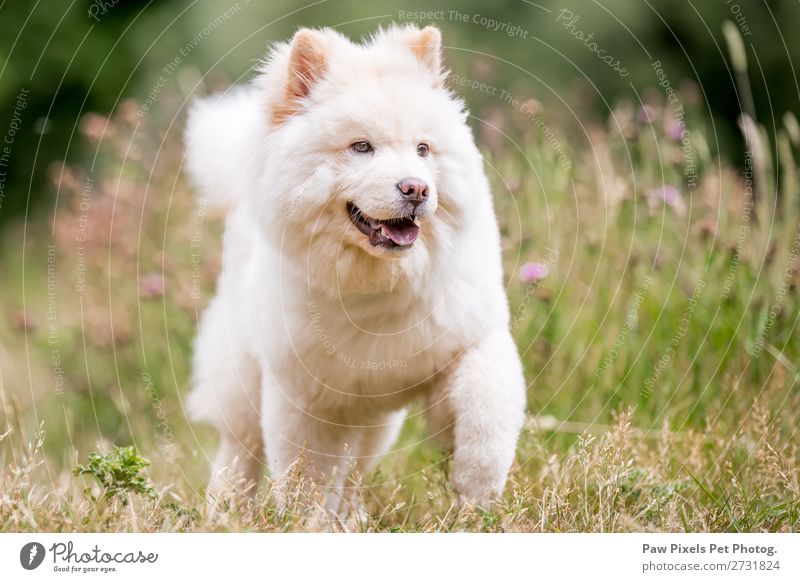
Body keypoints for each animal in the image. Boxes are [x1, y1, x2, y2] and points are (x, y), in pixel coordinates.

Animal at [185, 25, 528, 512]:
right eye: (361, 147)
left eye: (422, 149)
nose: (416, 188)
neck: (376, 286)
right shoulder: (301, 399)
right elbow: (304, 474)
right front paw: (304, 519)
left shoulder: (469, 343)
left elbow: (486, 414)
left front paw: (476, 494)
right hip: (244, 378)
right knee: (240, 452)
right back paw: (226, 509)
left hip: (373, 424)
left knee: (350, 471)